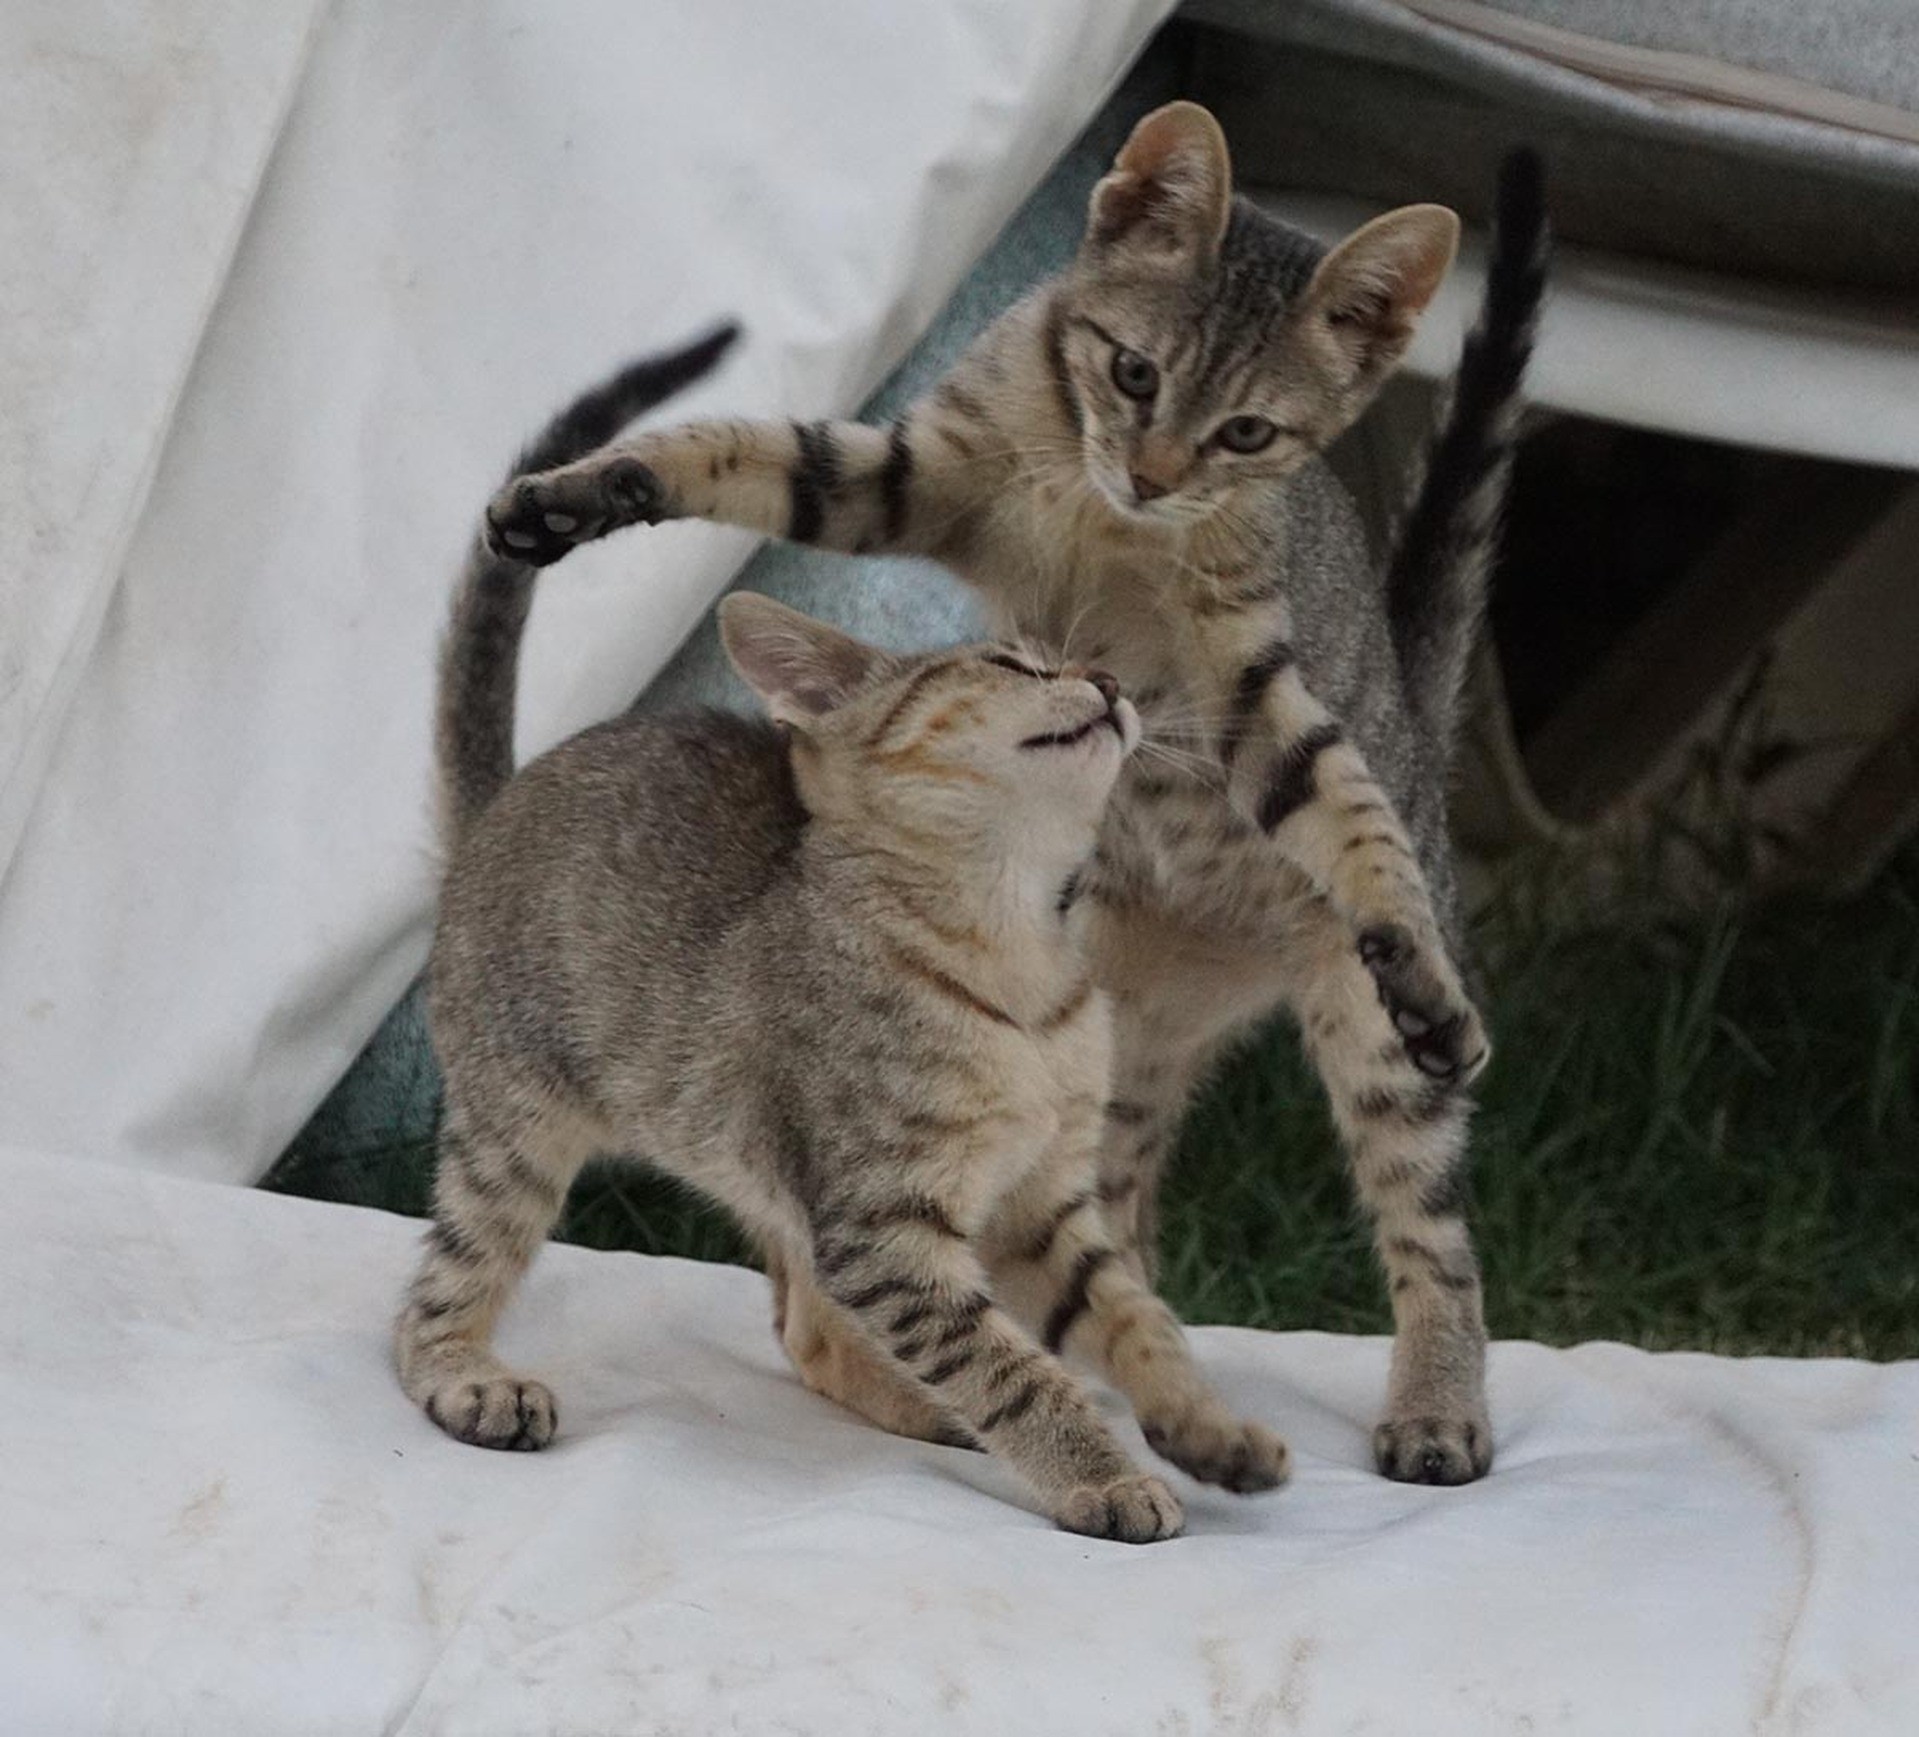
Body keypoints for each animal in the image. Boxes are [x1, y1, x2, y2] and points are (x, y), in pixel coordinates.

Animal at [389, 332, 1289, 1535]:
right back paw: (467, 1378)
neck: (1021, 954)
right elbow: (1016, 1367)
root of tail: (502, 801)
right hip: (515, 1126)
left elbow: (1137, 1318)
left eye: (1084, 663)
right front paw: (1098, 1473)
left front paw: (1205, 1427)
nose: (1104, 679)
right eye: (1012, 666)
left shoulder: (1039, 1206)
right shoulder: (882, 1225)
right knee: (437, 1288)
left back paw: (921, 1409)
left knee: (805, 1329)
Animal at [487, 105, 1550, 1474]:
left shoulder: (1250, 674)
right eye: (1134, 375)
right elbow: (745, 449)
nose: (1150, 475)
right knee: (1067, 1224)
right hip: (1105, 1063)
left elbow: (1337, 804)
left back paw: (1432, 1401)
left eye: (1245, 435)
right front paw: (581, 491)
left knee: (1433, 1237)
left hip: (1357, 1050)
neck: (1102, 519)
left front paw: (1412, 951)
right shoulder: (899, 475)